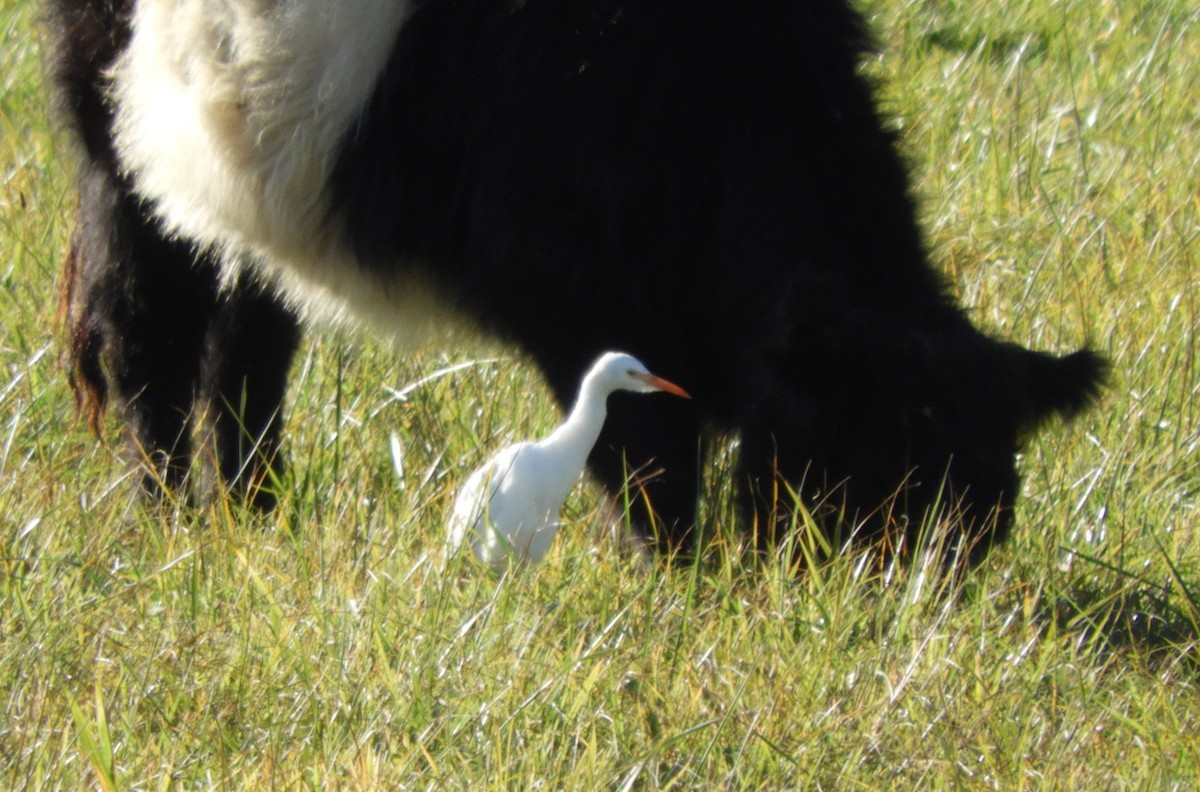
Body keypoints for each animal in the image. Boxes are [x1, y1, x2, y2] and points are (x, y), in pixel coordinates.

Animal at [48, 0, 1105, 563]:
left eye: (986, 515)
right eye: (870, 463)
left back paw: (258, 507)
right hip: (121, 135)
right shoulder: (580, 298)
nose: (890, 621)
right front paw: (679, 576)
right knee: (147, 331)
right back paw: (170, 516)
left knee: (248, 347)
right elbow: (646, 452)